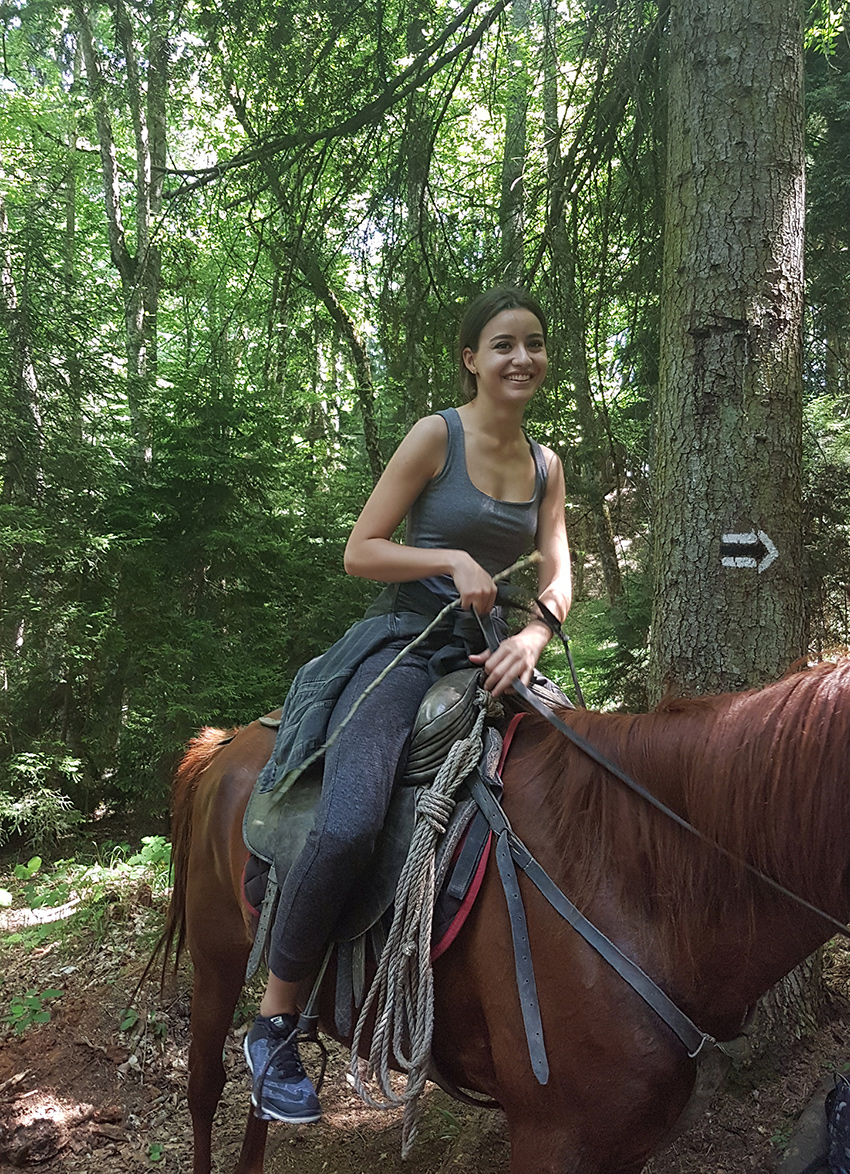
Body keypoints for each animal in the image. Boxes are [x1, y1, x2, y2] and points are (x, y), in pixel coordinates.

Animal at [159, 658, 850, 1174]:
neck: (627, 874)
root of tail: (227, 744)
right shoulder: (553, 1140)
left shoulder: (626, 1147)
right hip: (217, 960)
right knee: (206, 1083)